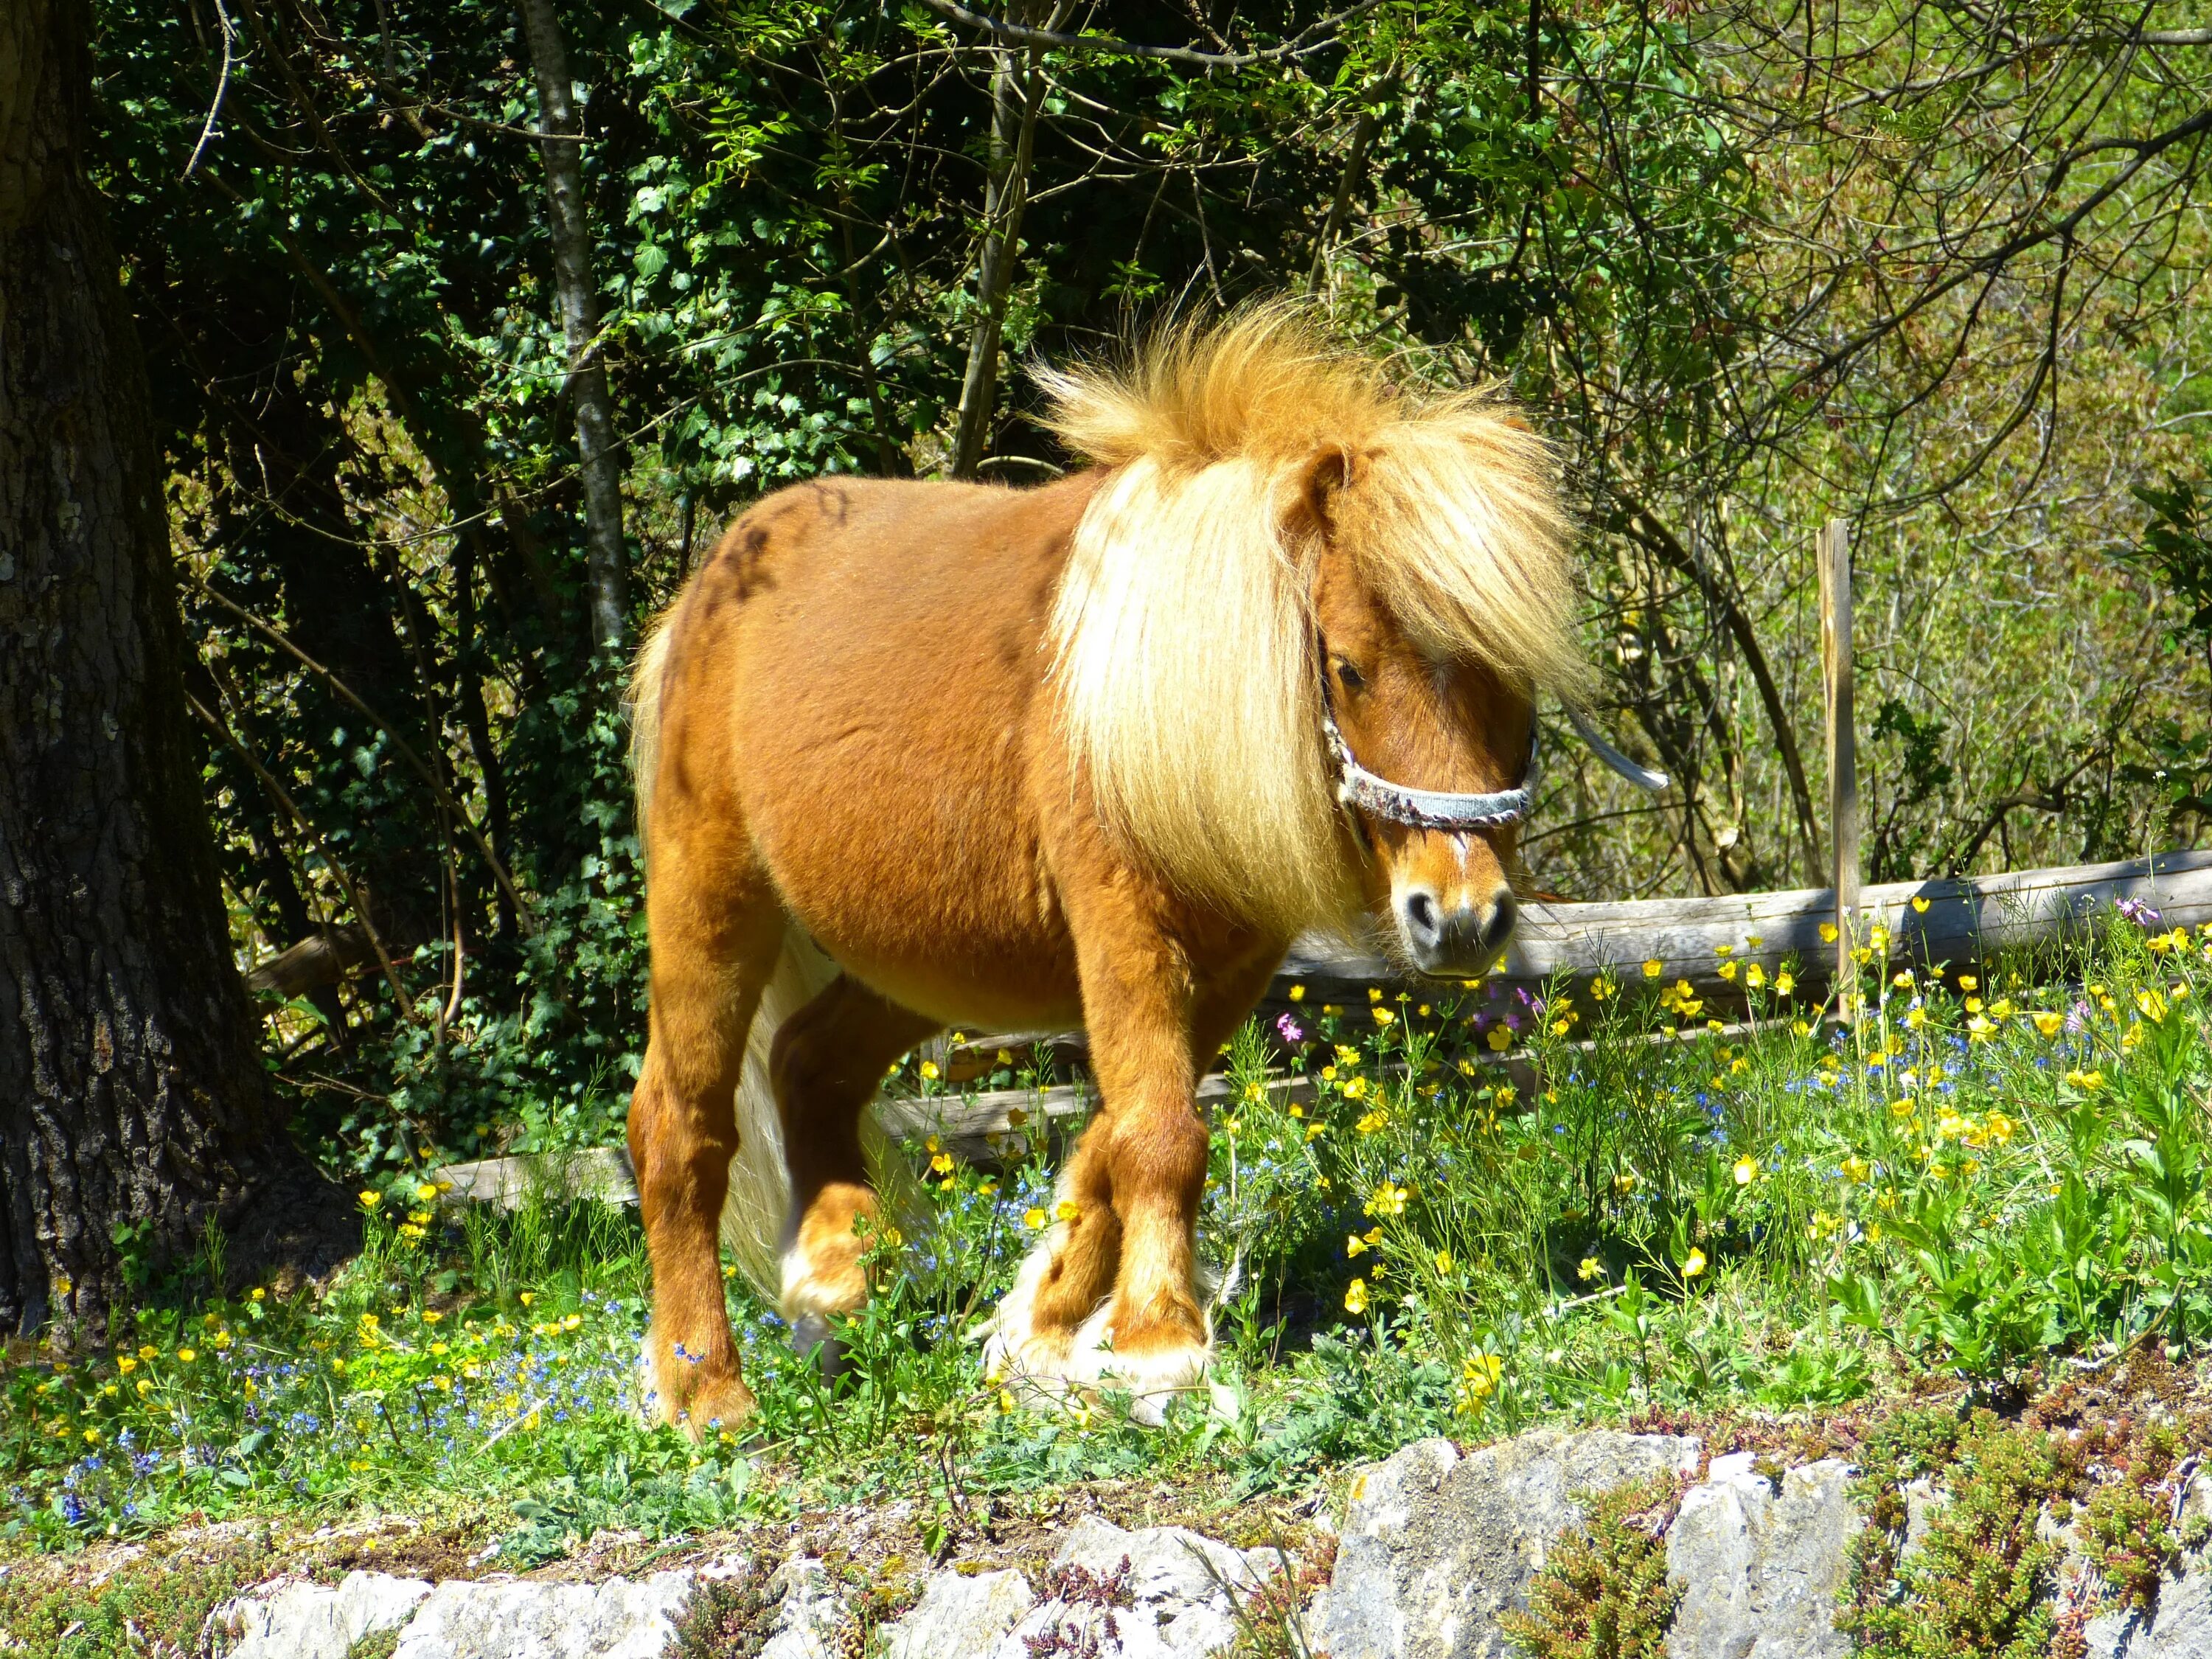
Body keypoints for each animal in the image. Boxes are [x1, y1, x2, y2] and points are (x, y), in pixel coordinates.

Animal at [633, 310, 1601, 1433]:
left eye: (1515, 678)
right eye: (1350, 666)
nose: (1459, 919)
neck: (1152, 707)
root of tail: (709, 592)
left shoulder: (1226, 966)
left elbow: (1113, 1139)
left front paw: (1040, 1330)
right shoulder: (1125, 929)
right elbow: (1160, 1132)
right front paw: (1159, 1347)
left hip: (915, 962)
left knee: (807, 1064)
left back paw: (833, 1293)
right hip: (714, 905)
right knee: (678, 1127)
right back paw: (704, 1389)